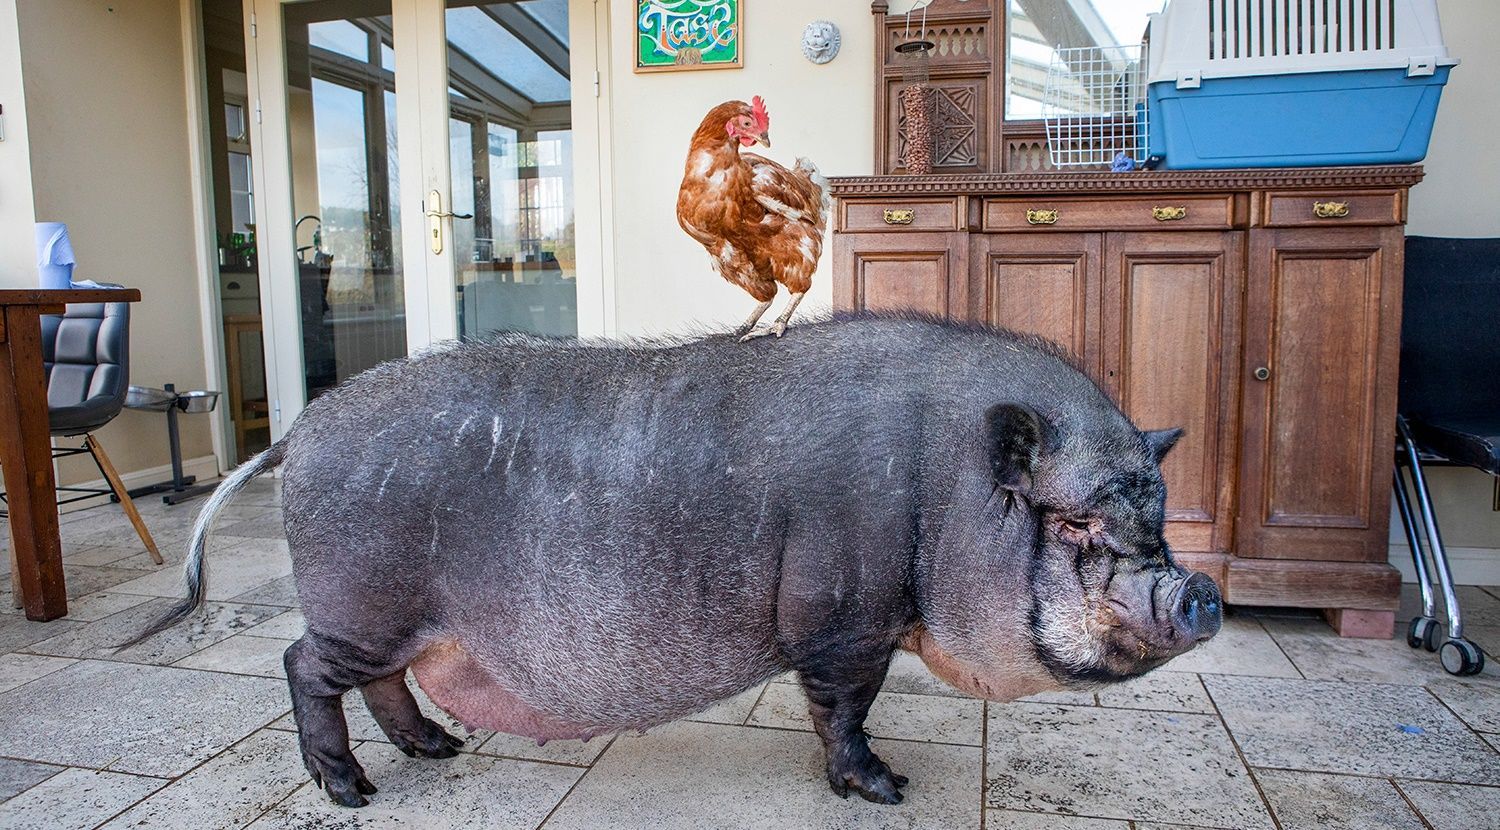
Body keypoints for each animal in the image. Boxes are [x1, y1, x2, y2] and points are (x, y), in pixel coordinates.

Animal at [132, 313, 1218, 804]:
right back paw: (351, 791)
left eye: (1158, 515)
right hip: (362, 601)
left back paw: (439, 751)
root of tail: (300, 430)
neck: (939, 488)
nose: (1201, 590)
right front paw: (887, 789)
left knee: (384, 681)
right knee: (304, 664)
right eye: (1076, 525)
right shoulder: (845, 619)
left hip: (400, 620)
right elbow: (845, 707)